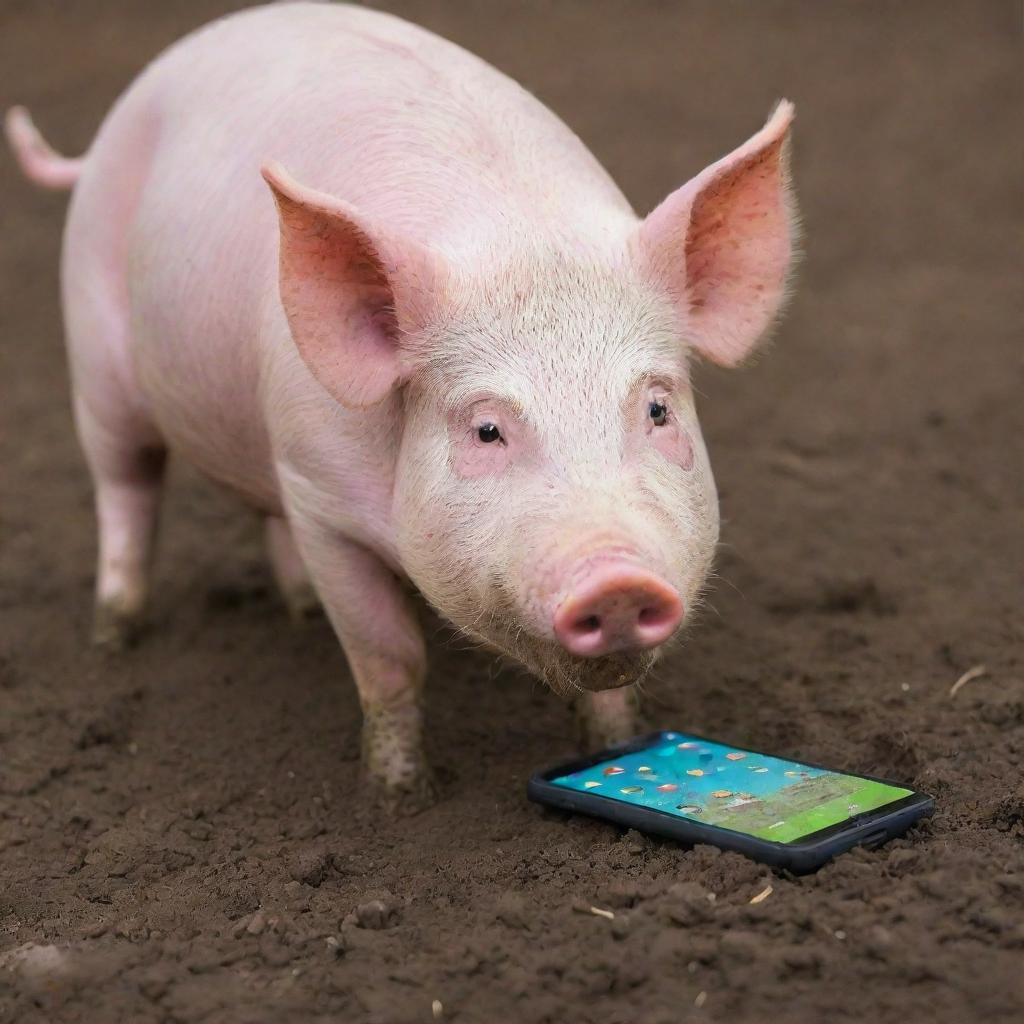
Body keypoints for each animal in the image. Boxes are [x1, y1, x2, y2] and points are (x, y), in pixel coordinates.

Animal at [4, 4, 794, 811]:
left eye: (658, 410)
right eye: (486, 429)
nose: (619, 580)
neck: (518, 241)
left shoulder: (296, 476)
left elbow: (607, 694)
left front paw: (612, 749)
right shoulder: (318, 493)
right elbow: (389, 657)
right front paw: (399, 799)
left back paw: (298, 613)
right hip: (95, 352)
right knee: (125, 484)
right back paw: (115, 636)